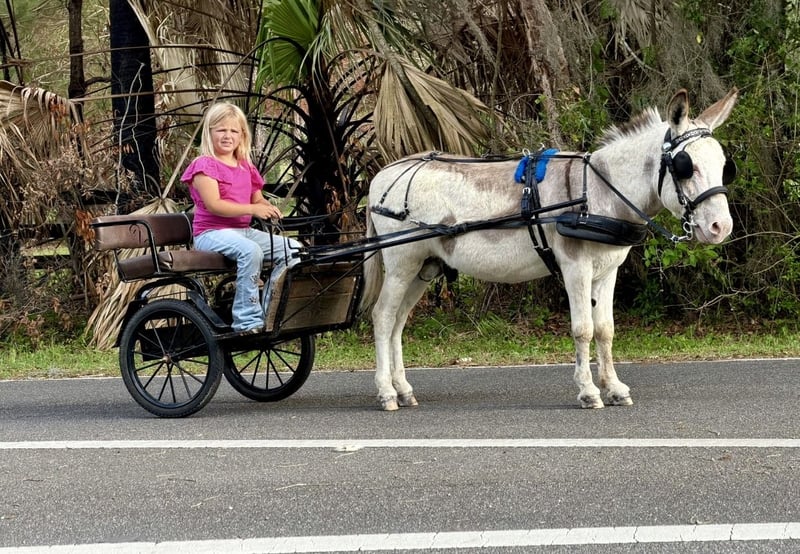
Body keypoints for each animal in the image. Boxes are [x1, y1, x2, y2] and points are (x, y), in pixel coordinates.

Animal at [360, 88, 738, 411]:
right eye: (686, 166)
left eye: (724, 165)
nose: (721, 228)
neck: (597, 192)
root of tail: (383, 174)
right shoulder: (575, 267)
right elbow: (583, 329)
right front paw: (588, 392)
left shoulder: (607, 271)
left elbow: (606, 330)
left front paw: (614, 389)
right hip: (401, 264)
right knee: (383, 317)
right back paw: (386, 392)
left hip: (425, 267)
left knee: (398, 322)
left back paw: (404, 390)